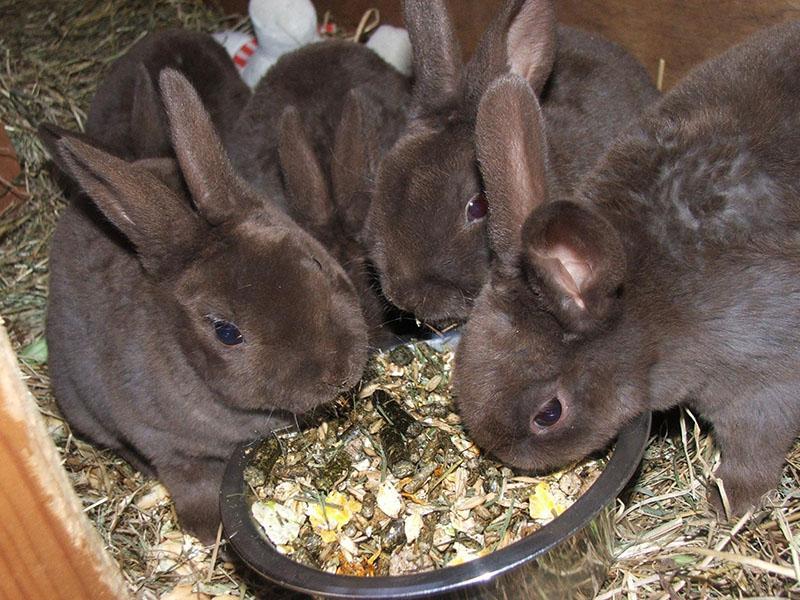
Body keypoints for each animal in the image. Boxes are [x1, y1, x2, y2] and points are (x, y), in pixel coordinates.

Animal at [40, 70, 368, 544]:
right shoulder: (166, 444)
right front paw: (211, 530)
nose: (338, 372)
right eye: (226, 333)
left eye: (317, 263)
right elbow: (191, 483)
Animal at [454, 18, 800, 516]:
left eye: (549, 414)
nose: (507, 457)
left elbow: (752, 451)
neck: (648, 310)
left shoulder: (763, 385)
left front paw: (728, 505)